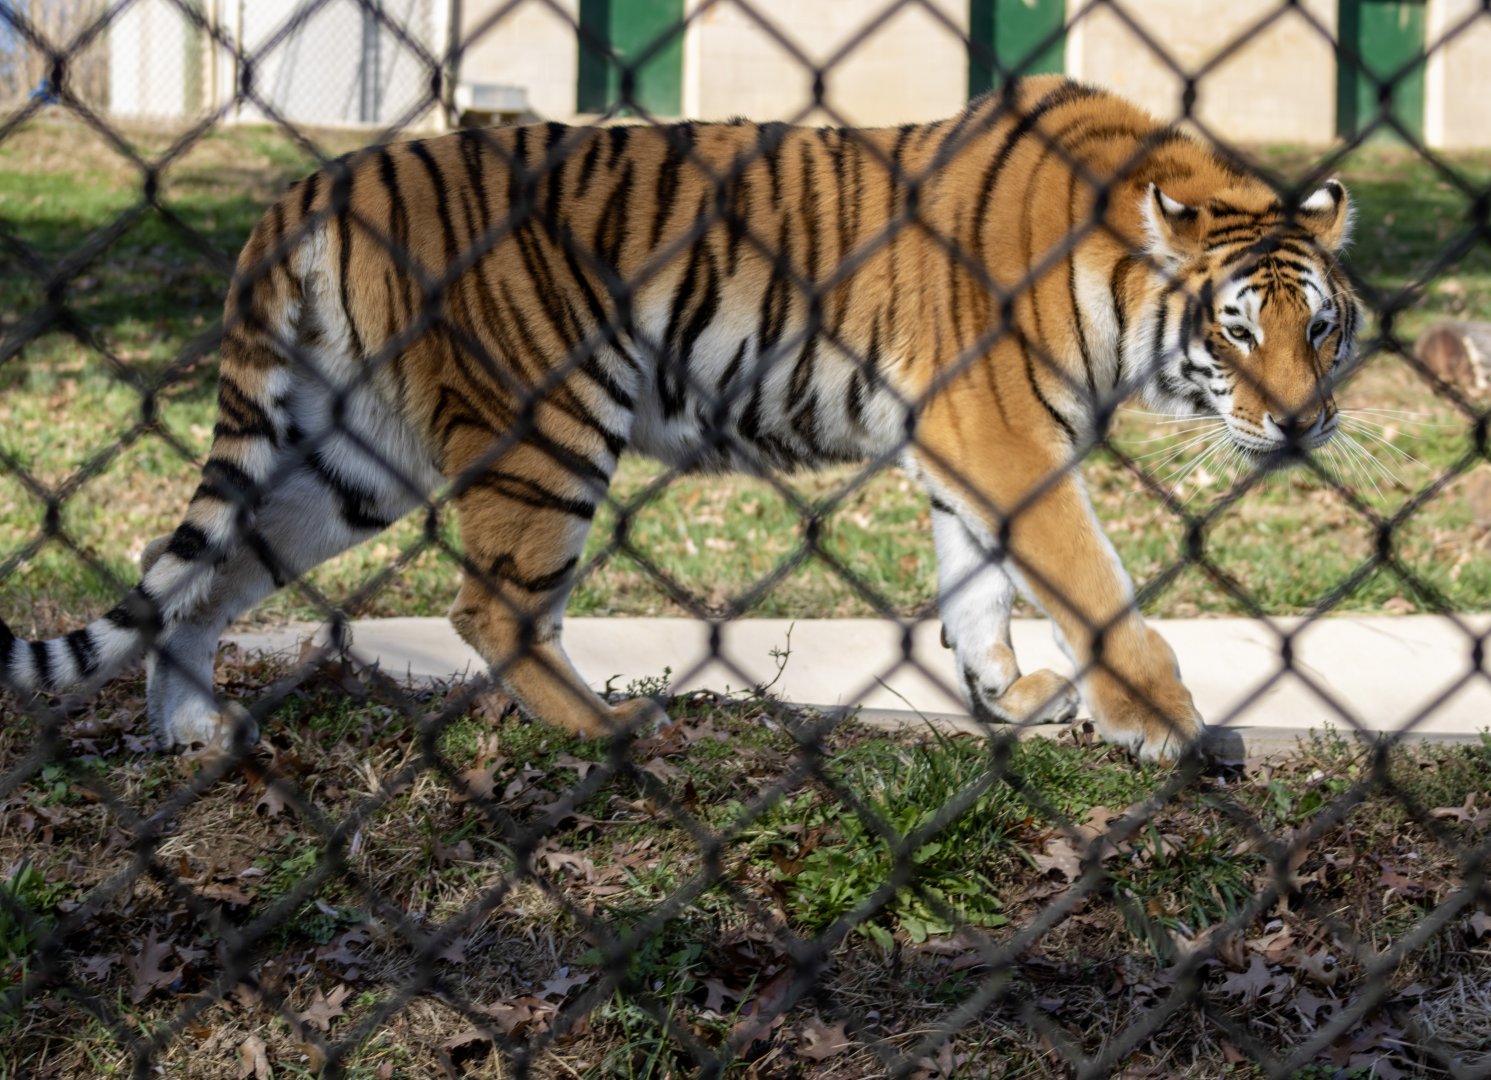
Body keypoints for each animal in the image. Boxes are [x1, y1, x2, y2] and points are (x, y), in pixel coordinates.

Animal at [0, 75, 1360, 763]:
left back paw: (191, 733)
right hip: (549, 418)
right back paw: (610, 731)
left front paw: (1004, 695)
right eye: (1238, 331)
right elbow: (1091, 580)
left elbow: (978, 584)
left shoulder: (967, 444)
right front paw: (1165, 726)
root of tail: (317, 182)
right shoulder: (1001, 431)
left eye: (1325, 329)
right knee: (490, 605)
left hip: (353, 456)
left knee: (197, 571)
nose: (1302, 425)